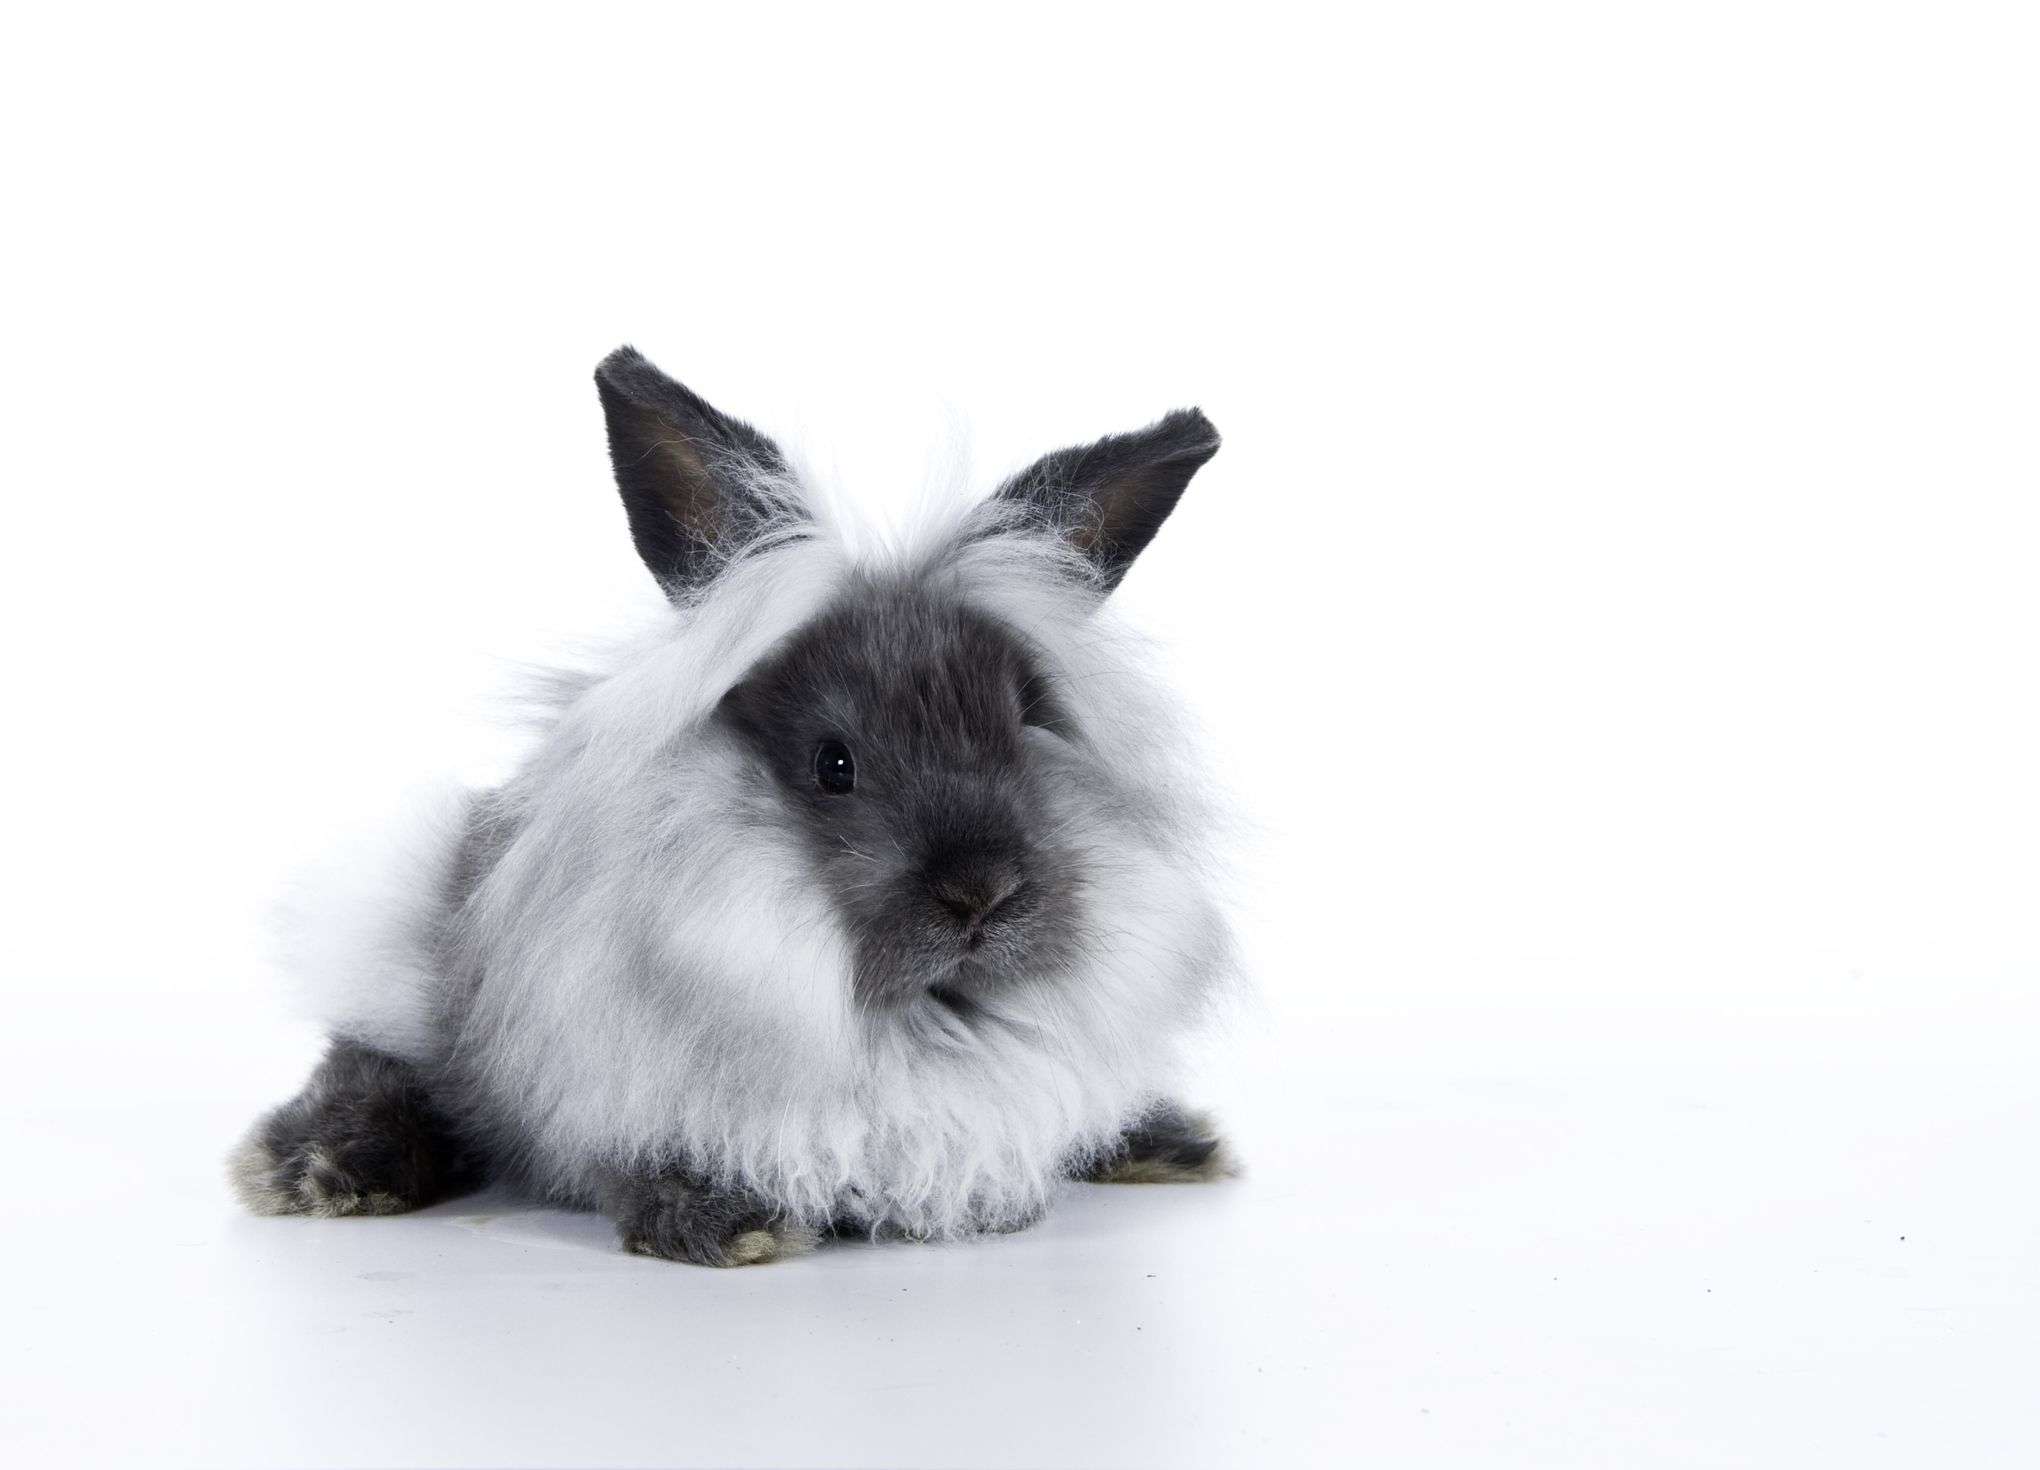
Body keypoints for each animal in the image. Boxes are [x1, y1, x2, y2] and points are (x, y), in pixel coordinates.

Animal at [229, 346, 1242, 1265]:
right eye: (834, 764)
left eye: (1024, 732)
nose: (981, 894)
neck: (919, 1024)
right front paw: (731, 1225)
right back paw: (319, 1169)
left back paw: (1177, 1144)